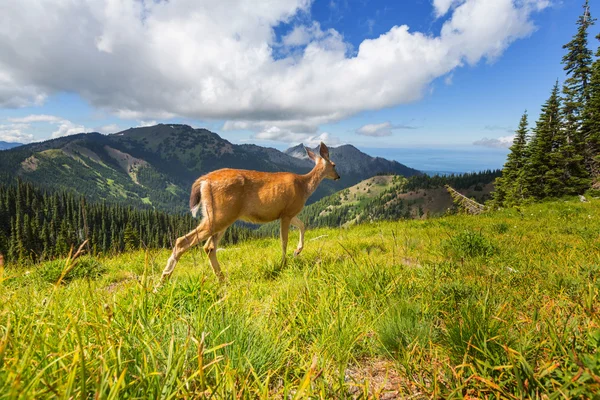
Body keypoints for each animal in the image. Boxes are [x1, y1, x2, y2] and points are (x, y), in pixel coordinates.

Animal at [157, 142, 340, 286]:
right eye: (334, 164)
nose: (338, 176)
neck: (304, 186)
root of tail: (203, 181)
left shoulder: (287, 213)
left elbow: (302, 226)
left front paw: (297, 251)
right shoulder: (286, 213)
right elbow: (284, 240)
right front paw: (283, 263)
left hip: (219, 216)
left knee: (209, 247)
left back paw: (222, 279)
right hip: (221, 214)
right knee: (183, 241)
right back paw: (161, 282)